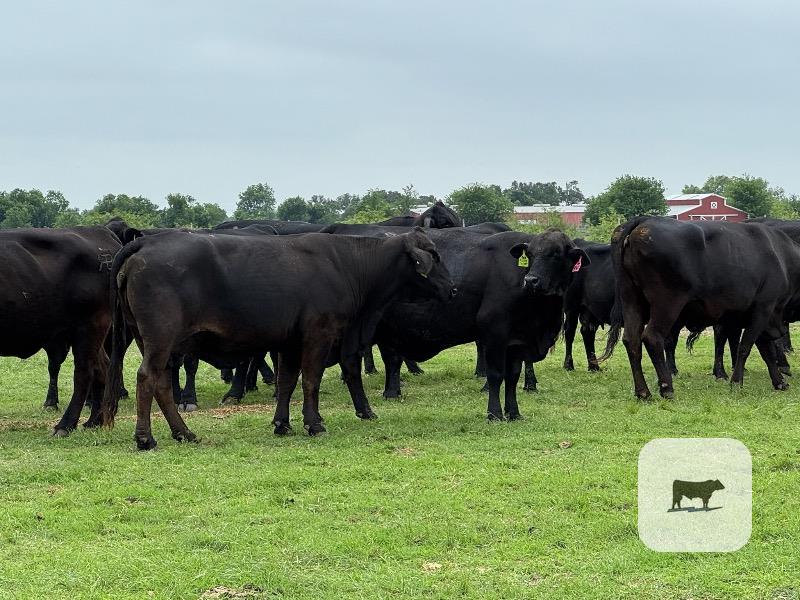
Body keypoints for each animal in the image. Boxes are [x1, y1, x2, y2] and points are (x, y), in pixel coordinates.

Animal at [0, 226, 125, 436]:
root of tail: (99, 231)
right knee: (102, 368)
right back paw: (94, 421)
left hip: (89, 325)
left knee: (84, 372)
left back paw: (65, 425)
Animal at [100, 229, 455, 450]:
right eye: (434, 256)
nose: (453, 289)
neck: (347, 265)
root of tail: (146, 243)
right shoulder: (319, 334)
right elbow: (310, 380)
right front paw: (314, 424)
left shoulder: (289, 342)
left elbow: (286, 382)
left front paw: (282, 424)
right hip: (160, 338)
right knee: (147, 378)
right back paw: (145, 439)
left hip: (149, 340)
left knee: (161, 384)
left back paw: (184, 433)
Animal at [375, 228, 589, 420]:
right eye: (530, 254)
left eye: (556, 254)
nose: (531, 280)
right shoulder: (495, 333)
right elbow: (495, 375)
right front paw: (494, 413)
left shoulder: (517, 341)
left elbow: (513, 376)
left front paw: (514, 413)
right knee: (391, 359)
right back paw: (390, 393)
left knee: (392, 360)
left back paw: (392, 392)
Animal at [601, 217, 800, 399]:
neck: (784, 259)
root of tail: (643, 221)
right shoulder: (763, 310)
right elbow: (746, 347)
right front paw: (736, 383)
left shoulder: (760, 317)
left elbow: (766, 351)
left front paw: (779, 382)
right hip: (666, 304)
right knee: (652, 338)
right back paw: (667, 388)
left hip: (631, 300)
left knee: (631, 340)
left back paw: (643, 392)